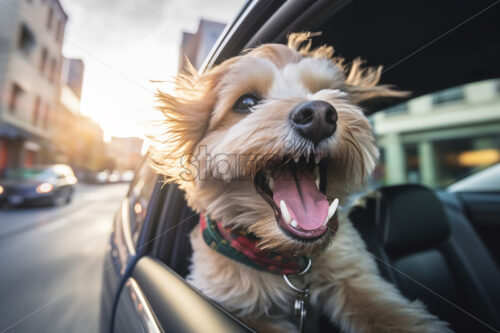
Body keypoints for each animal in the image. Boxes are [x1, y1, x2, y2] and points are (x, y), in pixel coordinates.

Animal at [150, 31, 452, 332]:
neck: (286, 259)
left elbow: (391, 314)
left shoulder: (355, 275)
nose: (319, 115)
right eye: (246, 103)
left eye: (331, 92)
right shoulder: (237, 304)